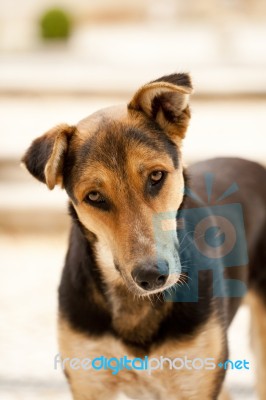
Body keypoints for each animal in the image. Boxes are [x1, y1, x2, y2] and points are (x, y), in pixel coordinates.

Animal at [22, 73, 266, 398]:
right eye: (94, 196)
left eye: (156, 176)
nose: (151, 276)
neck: (135, 302)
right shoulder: (89, 382)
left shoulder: (194, 381)